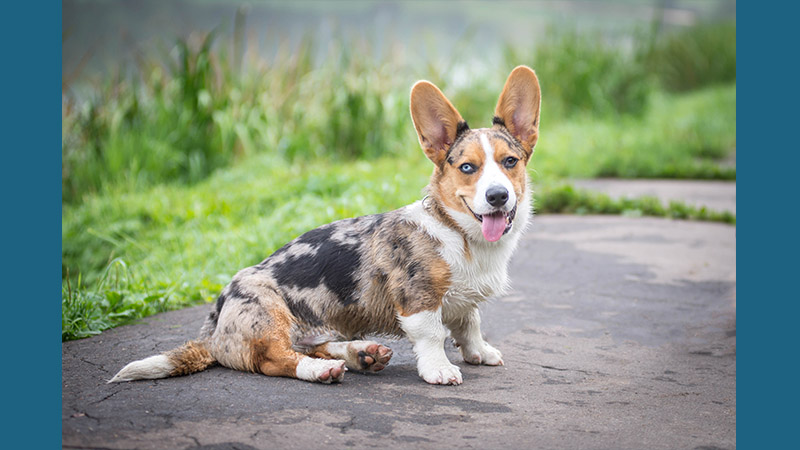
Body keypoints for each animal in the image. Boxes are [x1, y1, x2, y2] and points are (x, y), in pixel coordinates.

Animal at [111, 65, 544, 384]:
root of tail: (214, 331)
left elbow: (470, 324)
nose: (498, 197)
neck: (461, 235)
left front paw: (480, 353)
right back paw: (322, 370)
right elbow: (434, 334)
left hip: (318, 327)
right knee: (275, 359)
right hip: (268, 312)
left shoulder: (463, 301)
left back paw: (360, 353)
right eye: (468, 168)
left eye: (510, 162)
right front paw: (440, 369)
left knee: (309, 345)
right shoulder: (419, 300)